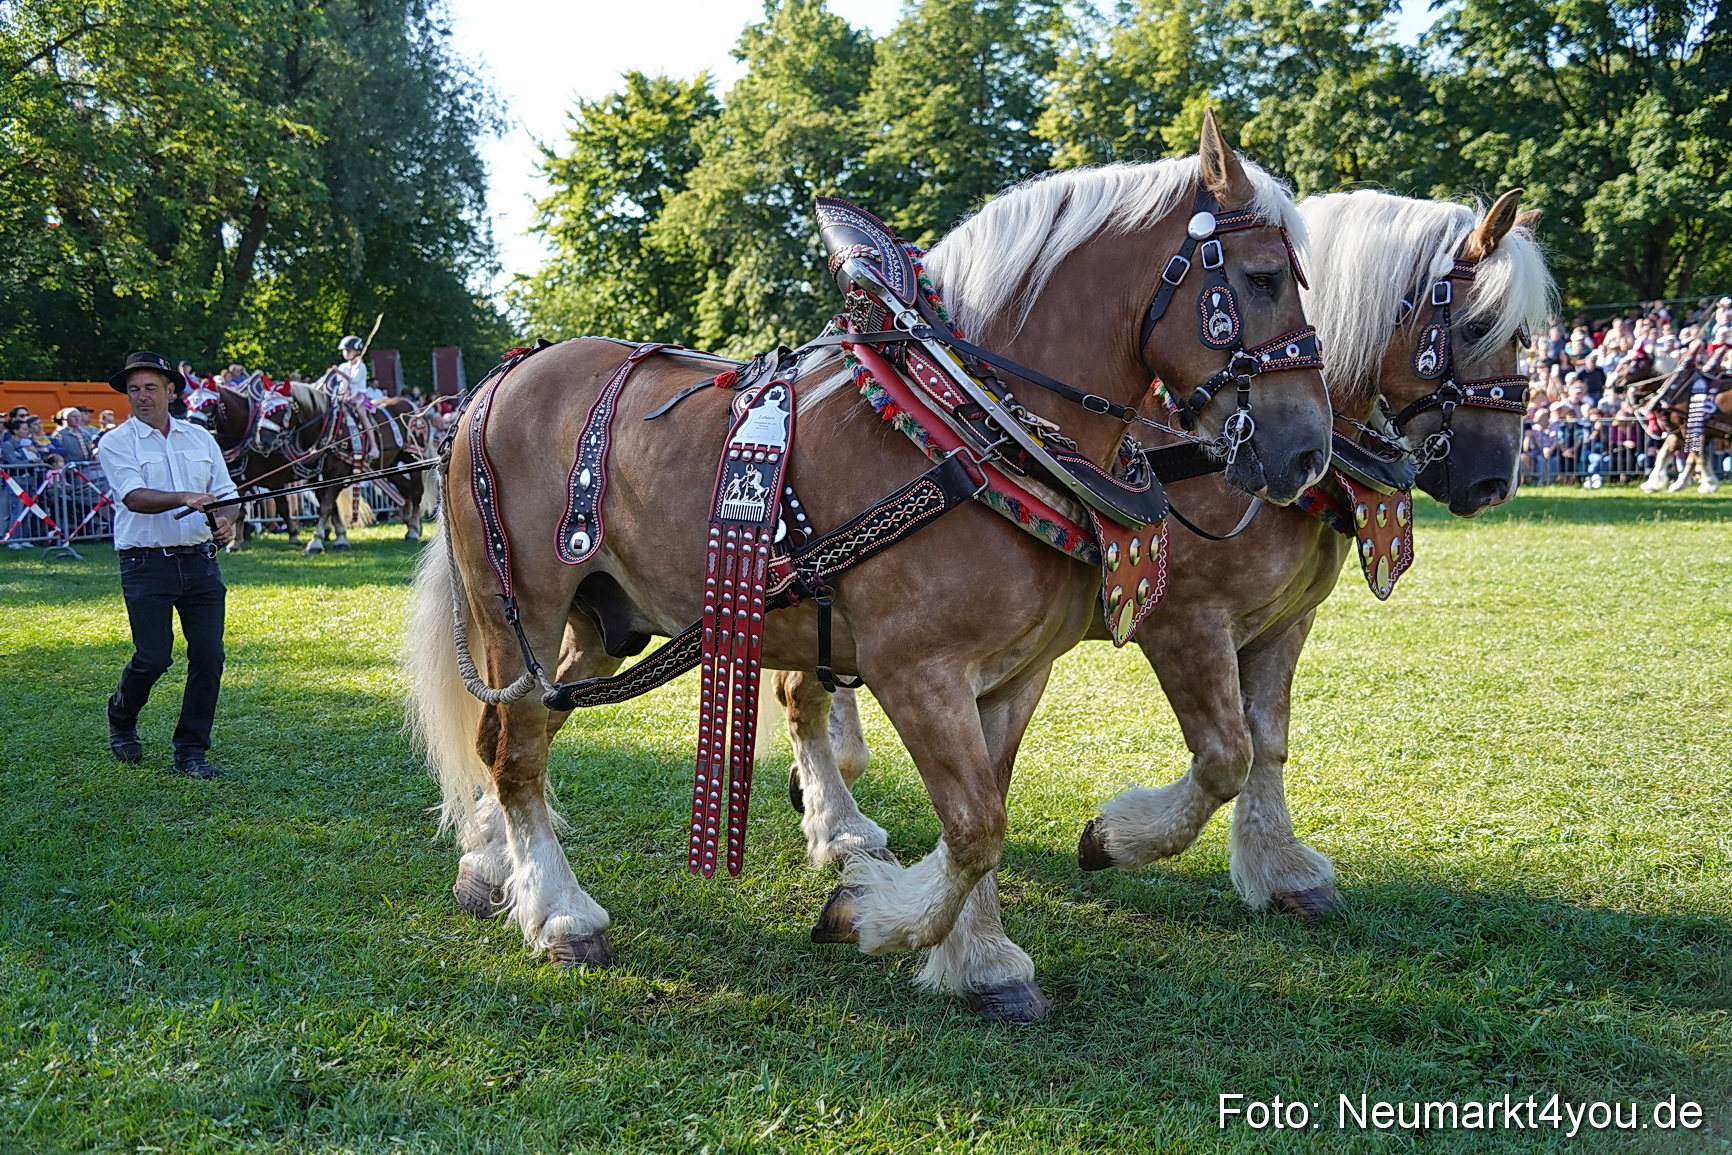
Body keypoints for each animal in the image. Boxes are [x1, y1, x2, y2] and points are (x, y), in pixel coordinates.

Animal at [404, 114, 1334, 1020]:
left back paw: (493, 868)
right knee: (516, 753)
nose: (1307, 452)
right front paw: (872, 915)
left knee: (509, 739)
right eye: (1260, 279)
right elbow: (975, 823)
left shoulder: (1014, 673)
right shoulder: (912, 665)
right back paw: (561, 912)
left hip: (598, 621)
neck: (970, 423)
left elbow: (992, 809)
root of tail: (502, 378)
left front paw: (981, 958)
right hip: (516, 609)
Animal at [773, 187, 1552, 930]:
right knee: (802, 694)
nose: (1495, 480)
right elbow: (1226, 752)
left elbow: (1268, 741)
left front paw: (1280, 868)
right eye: (1476, 327)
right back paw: (839, 823)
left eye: (1524, 336)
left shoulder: (1283, 622)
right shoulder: (1186, 621)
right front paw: (1116, 838)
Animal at [1635, 342, 1730, 494]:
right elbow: (1666, 453)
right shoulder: (1679, 431)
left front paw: (1708, 484)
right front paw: (1656, 484)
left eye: (1632, 363)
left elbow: (1697, 456)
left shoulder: (1691, 429)